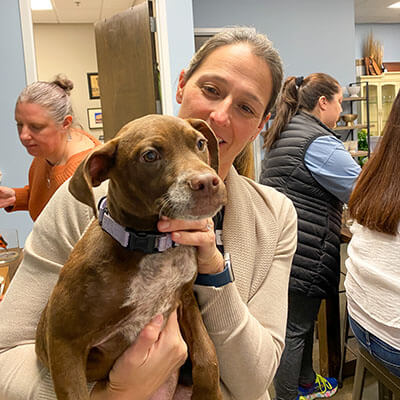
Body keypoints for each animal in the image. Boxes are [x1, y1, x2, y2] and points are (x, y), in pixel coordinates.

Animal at [35, 114, 227, 398]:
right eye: (150, 156)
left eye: (200, 143)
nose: (206, 182)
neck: (152, 245)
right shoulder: (62, 339)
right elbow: (75, 392)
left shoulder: (185, 299)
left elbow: (207, 353)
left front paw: (208, 393)